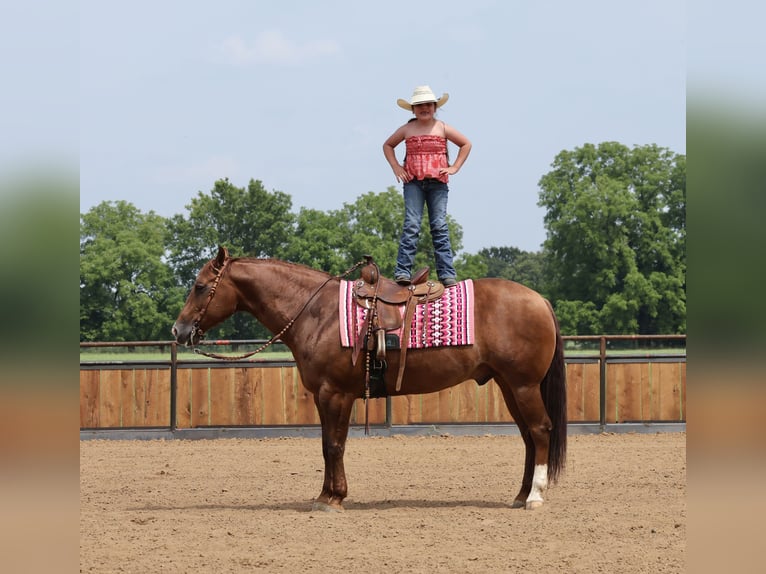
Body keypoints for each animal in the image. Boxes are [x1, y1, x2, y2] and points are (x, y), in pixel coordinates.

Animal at [172, 246, 567, 511]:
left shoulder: (335, 394)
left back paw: (535, 496)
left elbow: (334, 445)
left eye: (201, 286)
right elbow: (327, 444)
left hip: (523, 386)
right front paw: (326, 494)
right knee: (528, 437)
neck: (317, 312)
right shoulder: (325, 396)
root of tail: (540, 301)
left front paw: (334, 498)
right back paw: (520, 495)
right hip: (508, 386)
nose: (179, 330)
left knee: (540, 430)